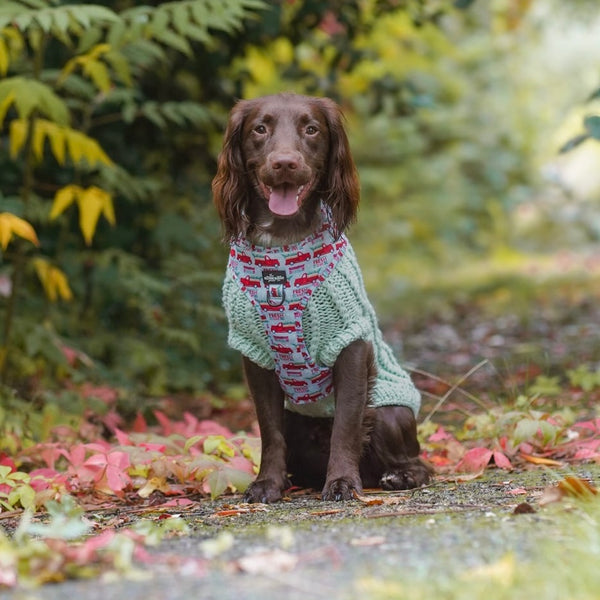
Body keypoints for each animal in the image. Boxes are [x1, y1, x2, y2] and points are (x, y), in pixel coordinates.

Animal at [213, 94, 428, 502]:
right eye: (259, 129)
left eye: (311, 129)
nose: (284, 162)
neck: (283, 245)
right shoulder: (255, 353)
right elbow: (269, 432)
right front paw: (266, 484)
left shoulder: (350, 344)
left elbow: (346, 423)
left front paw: (342, 482)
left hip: (390, 412)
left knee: (419, 463)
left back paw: (399, 476)